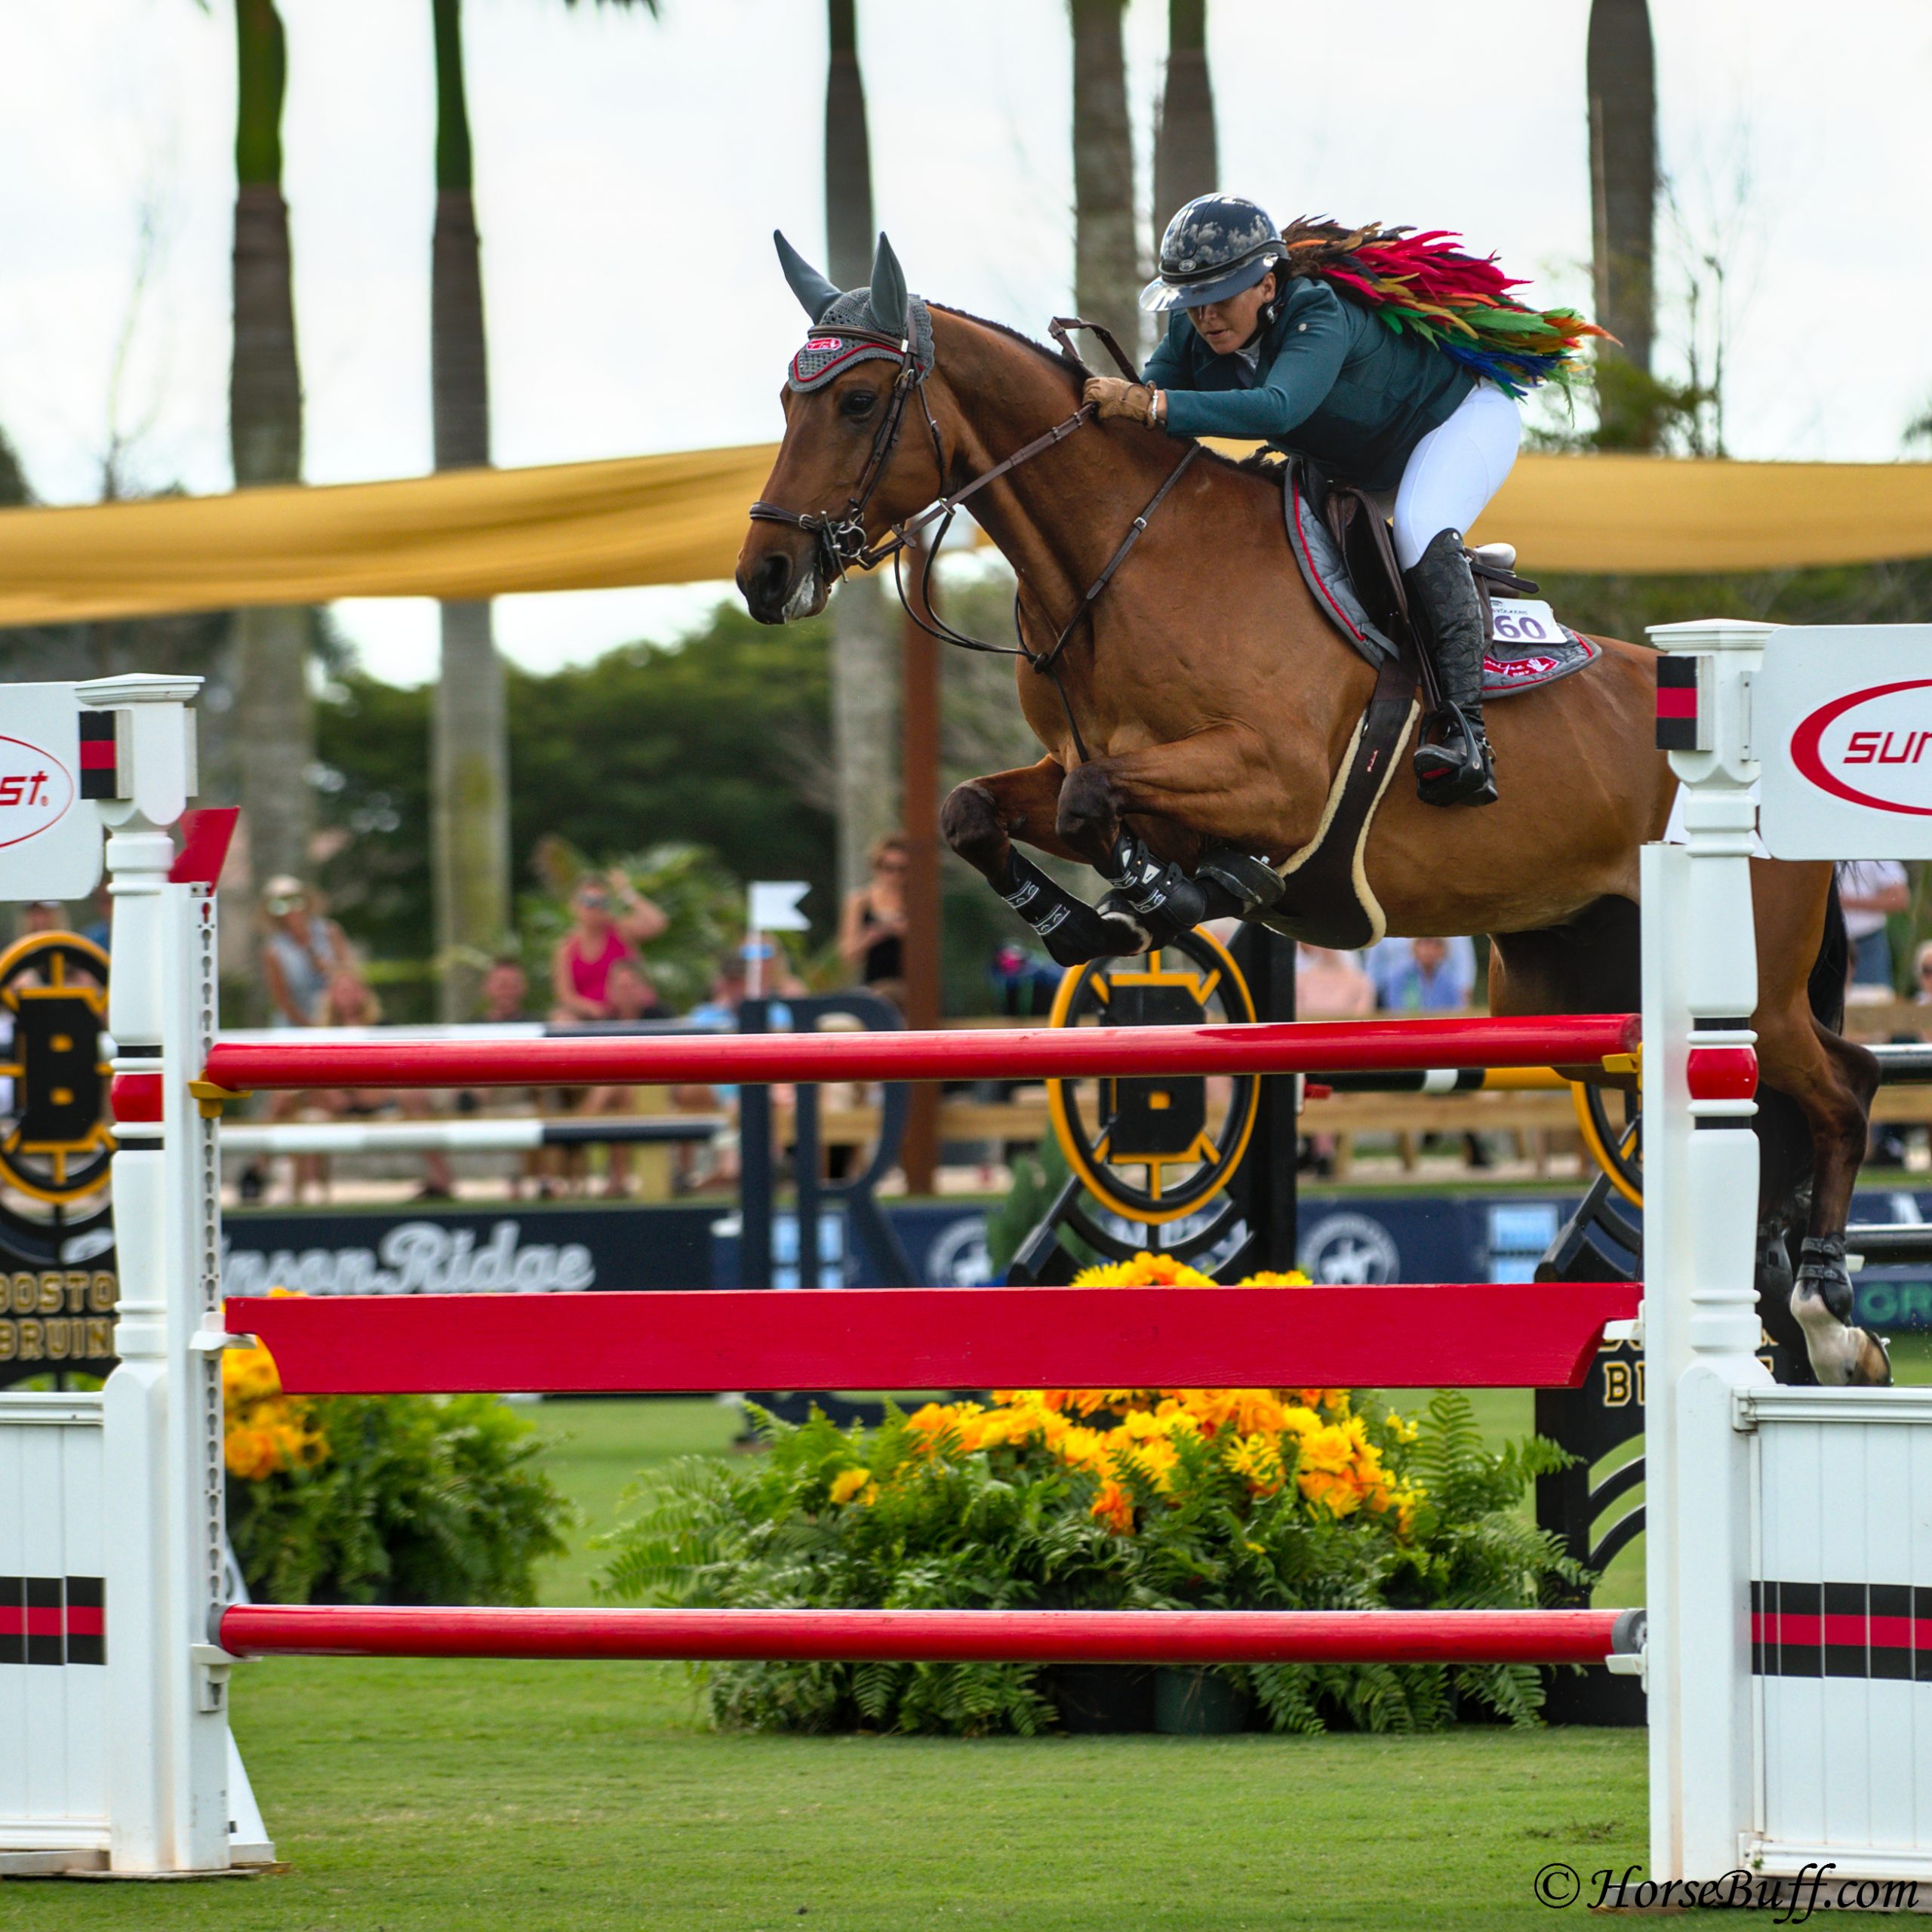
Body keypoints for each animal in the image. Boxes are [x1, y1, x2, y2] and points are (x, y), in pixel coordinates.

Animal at [730, 237, 1878, 1391]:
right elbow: (983, 809)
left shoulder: (1272, 778)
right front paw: (1091, 920)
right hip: (1578, 981)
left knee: (1842, 1085)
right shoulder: (1077, 765)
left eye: (859, 399)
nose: (764, 578)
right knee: (1785, 1105)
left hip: (1752, 987)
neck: (1119, 566)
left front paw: (1172, 893)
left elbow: (1106, 805)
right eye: (784, 398)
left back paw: (1828, 1310)